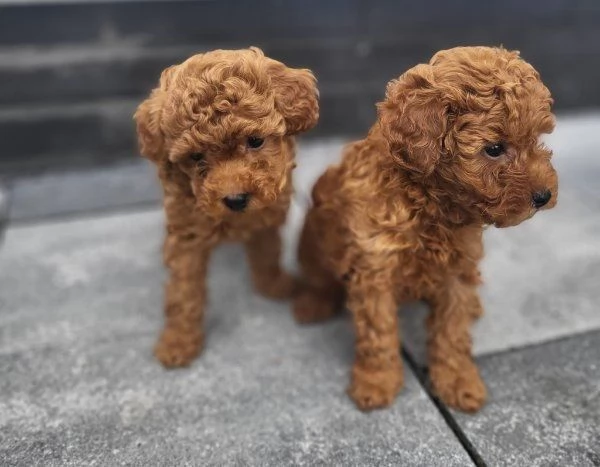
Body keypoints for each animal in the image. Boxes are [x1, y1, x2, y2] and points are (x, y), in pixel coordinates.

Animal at [135, 48, 318, 370]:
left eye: (255, 141)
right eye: (196, 156)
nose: (235, 199)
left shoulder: (267, 218)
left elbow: (267, 253)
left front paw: (273, 284)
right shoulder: (187, 236)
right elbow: (183, 291)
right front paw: (178, 342)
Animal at [296, 46, 556, 414]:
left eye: (536, 139)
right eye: (493, 149)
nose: (544, 196)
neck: (431, 204)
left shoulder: (458, 269)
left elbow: (452, 330)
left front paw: (458, 381)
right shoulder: (375, 269)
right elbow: (378, 332)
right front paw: (376, 381)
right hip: (313, 242)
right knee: (319, 277)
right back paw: (312, 303)